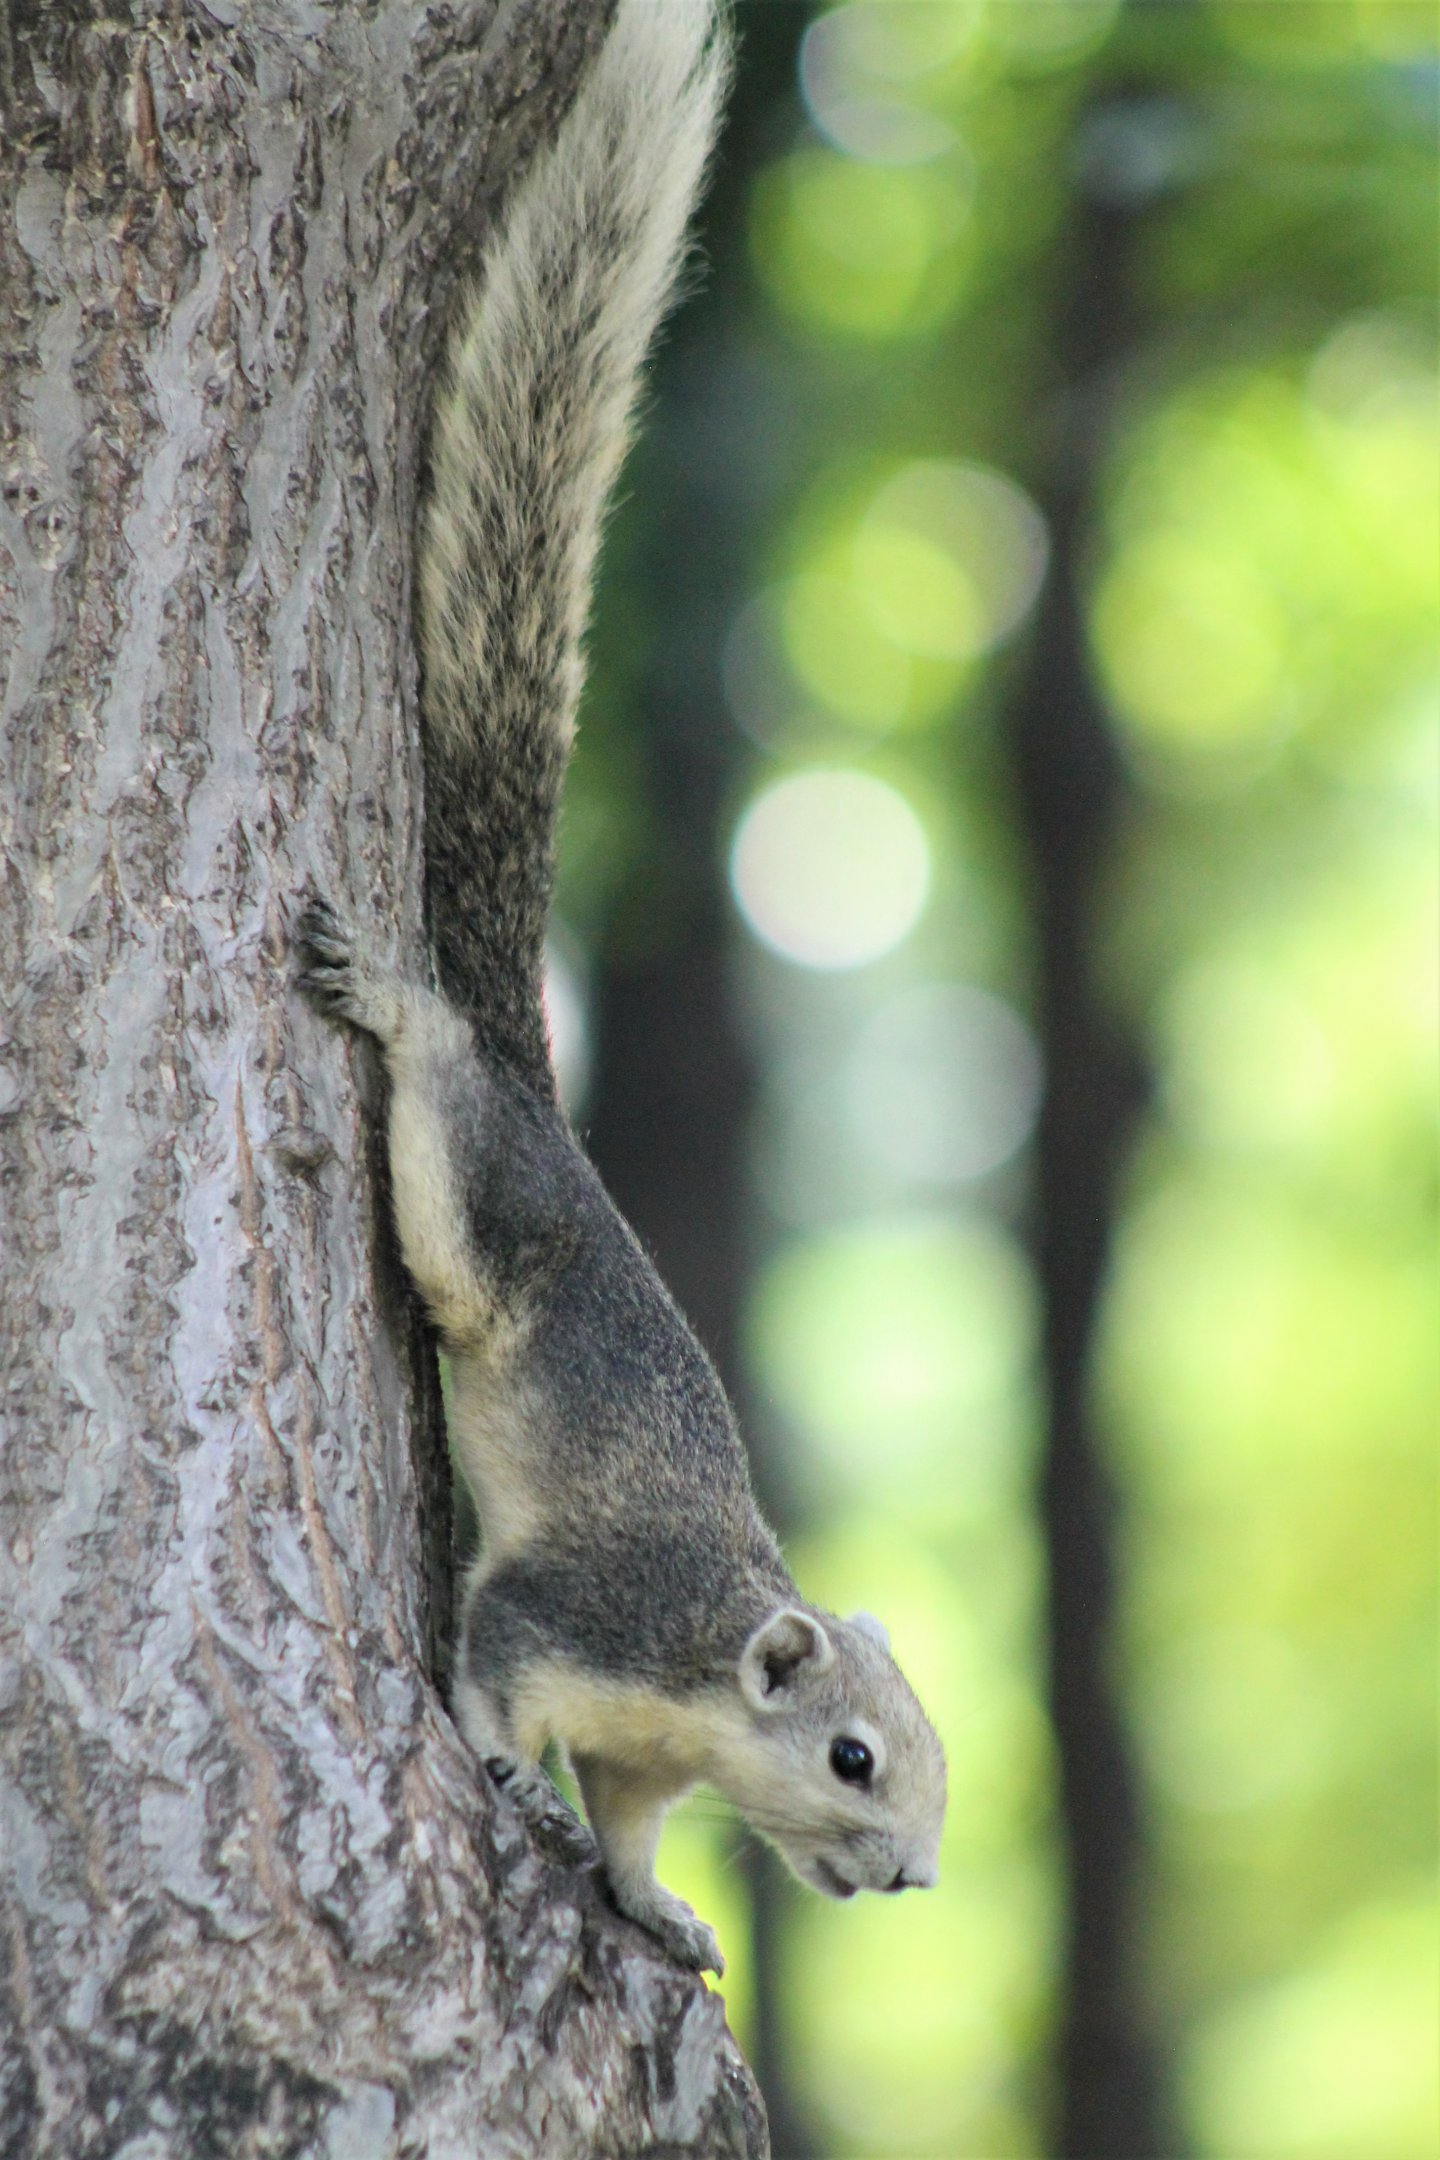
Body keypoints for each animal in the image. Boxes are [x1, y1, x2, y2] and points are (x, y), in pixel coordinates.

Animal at [297, 0, 946, 1977]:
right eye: (852, 1758)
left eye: (930, 1772)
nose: (913, 1882)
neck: (703, 1682)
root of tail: (542, 1090)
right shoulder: (570, 1613)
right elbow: (491, 1673)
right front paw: (510, 1785)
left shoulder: (650, 1752)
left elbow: (638, 1827)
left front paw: (658, 1907)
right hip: (486, 1197)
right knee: (442, 1115)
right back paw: (401, 1005)